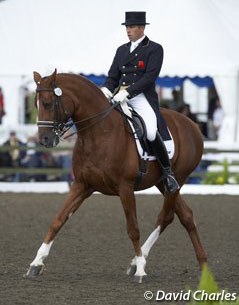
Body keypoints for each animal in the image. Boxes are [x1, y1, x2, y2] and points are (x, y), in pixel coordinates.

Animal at [24, 70, 207, 282]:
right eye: (35, 103)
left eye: (47, 103)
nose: (44, 140)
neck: (99, 133)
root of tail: (192, 125)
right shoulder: (82, 185)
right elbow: (57, 221)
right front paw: (36, 264)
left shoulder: (125, 188)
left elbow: (133, 229)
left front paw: (141, 269)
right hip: (163, 183)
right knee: (186, 215)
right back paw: (203, 265)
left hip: (177, 179)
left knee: (166, 216)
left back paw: (139, 262)